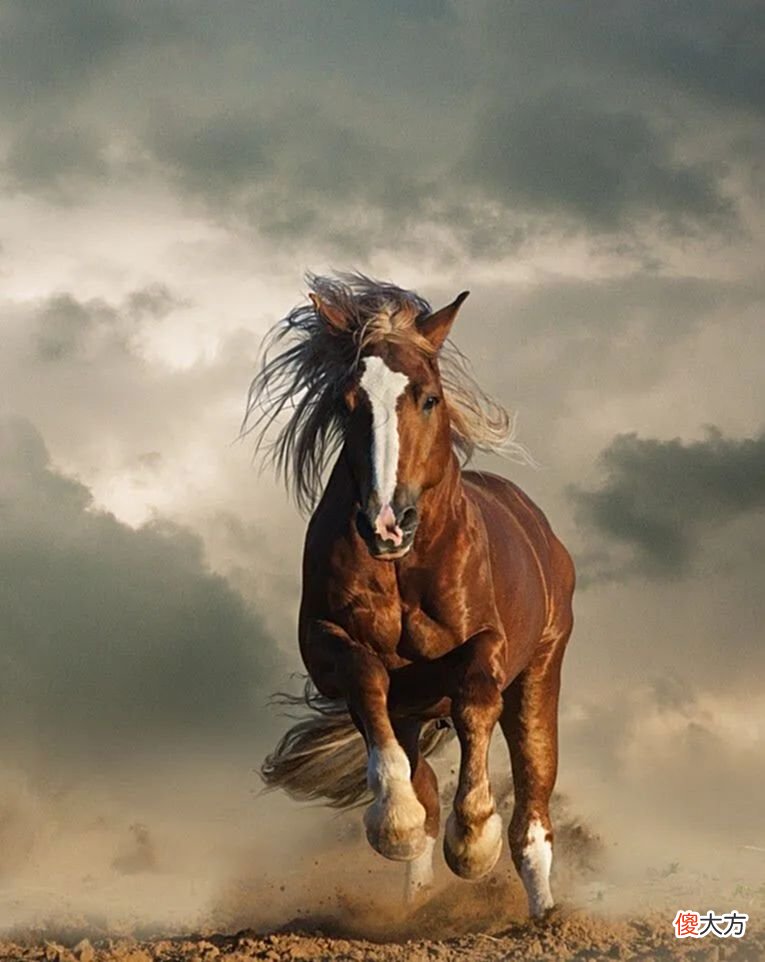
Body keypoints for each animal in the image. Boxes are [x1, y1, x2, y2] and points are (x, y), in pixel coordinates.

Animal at [244, 273, 575, 917]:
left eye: (428, 398)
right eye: (348, 403)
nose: (386, 523)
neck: (404, 569)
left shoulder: (488, 645)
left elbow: (476, 698)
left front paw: (472, 841)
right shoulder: (329, 648)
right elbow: (367, 680)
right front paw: (393, 823)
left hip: (540, 673)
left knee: (533, 805)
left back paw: (543, 915)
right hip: (416, 711)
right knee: (423, 783)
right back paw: (416, 900)